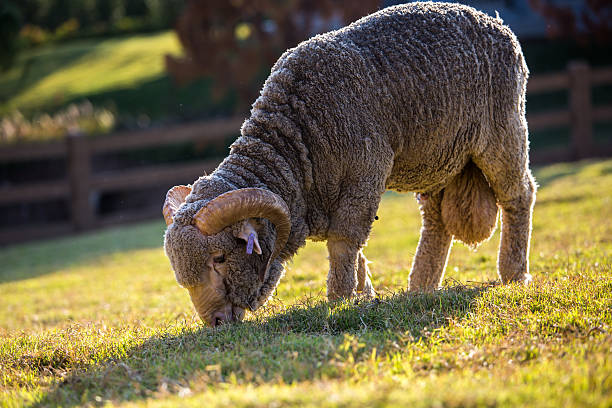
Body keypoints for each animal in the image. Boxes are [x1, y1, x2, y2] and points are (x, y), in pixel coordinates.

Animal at [163, 1, 536, 326]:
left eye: (220, 258)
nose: (215, 322)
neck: (298, 143)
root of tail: (495, 22)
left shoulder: (365, 175)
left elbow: (344, 241)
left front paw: (340, 298)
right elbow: (353, 249)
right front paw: (364, 293)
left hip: (503, 130)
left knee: (519, 194)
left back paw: (514, 273)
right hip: (439, 160)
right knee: (436, 222)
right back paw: (421, 288)